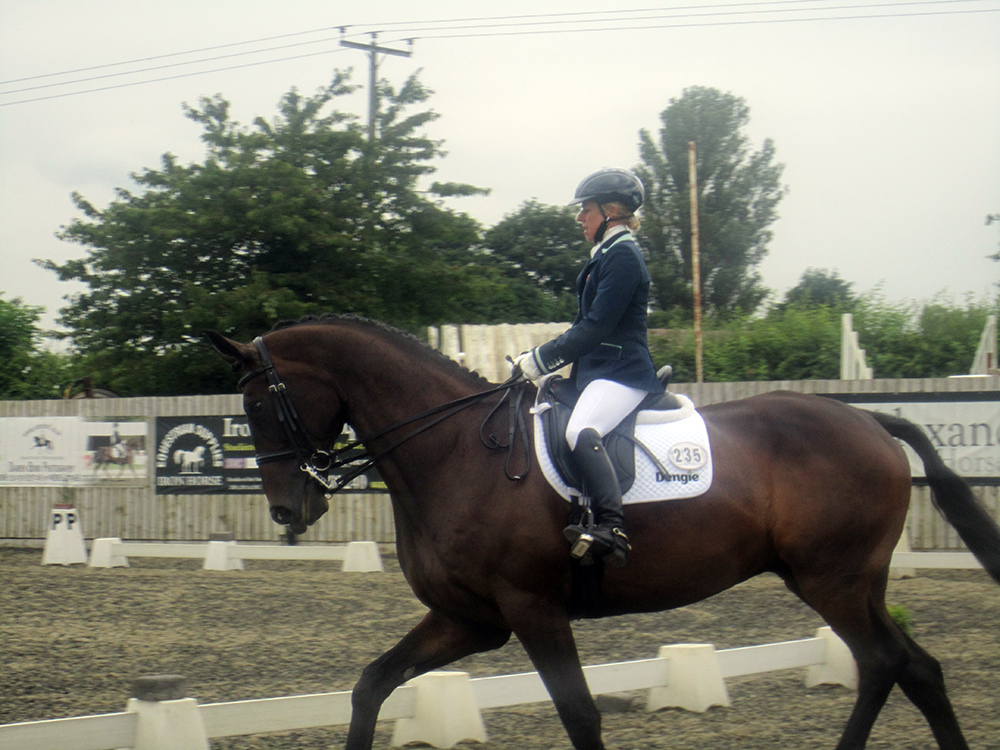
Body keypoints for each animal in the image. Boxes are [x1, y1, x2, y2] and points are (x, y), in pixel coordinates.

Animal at [205, 318, 1000, 750]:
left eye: (260, 404)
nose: (288, 510)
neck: (454, 449)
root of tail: (871, 420)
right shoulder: (470, 619)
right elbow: (372, 685)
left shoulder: (532, 609)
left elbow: (581, 715)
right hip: (852, 582)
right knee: (910, 668)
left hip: (832, 579)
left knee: (889, 663)